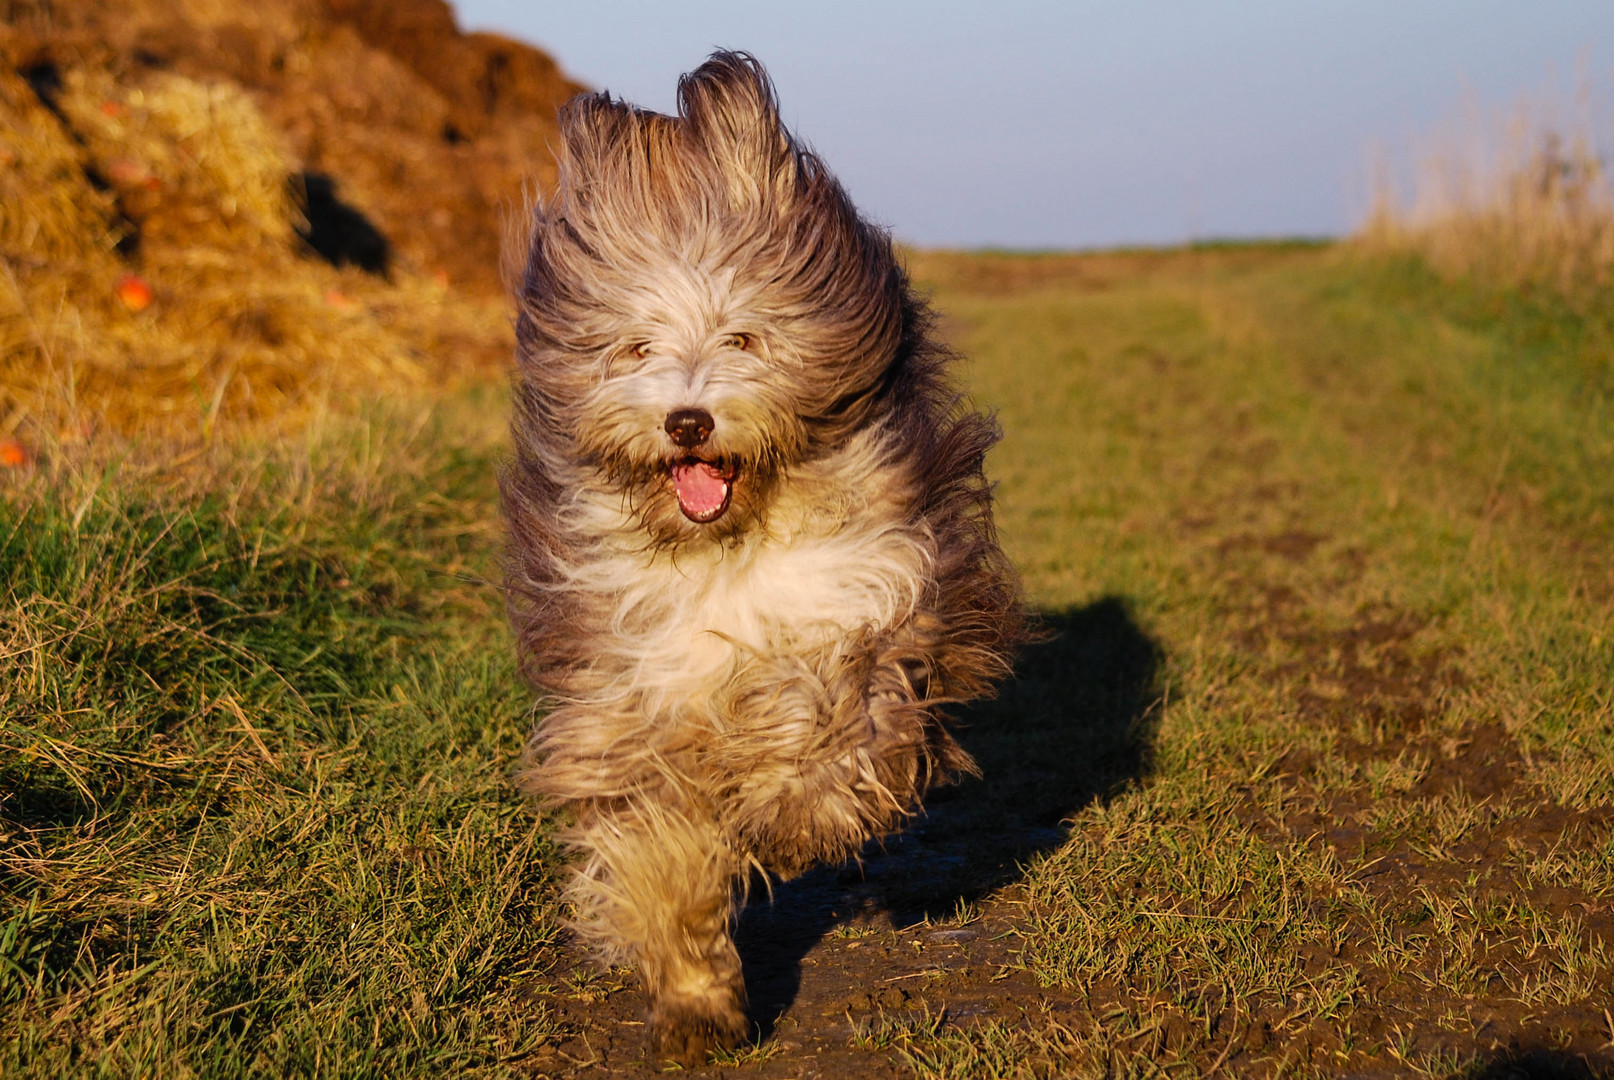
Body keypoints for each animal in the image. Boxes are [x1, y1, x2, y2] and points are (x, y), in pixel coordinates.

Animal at [500, 50, 1020, 1059]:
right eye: (635, 348)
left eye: (742, 335)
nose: (687, 419)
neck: (722, 551)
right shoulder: (628, 696)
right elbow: (656, 845)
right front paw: (697, 999)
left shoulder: (864, 602)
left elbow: (829, 727)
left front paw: (793, 813)